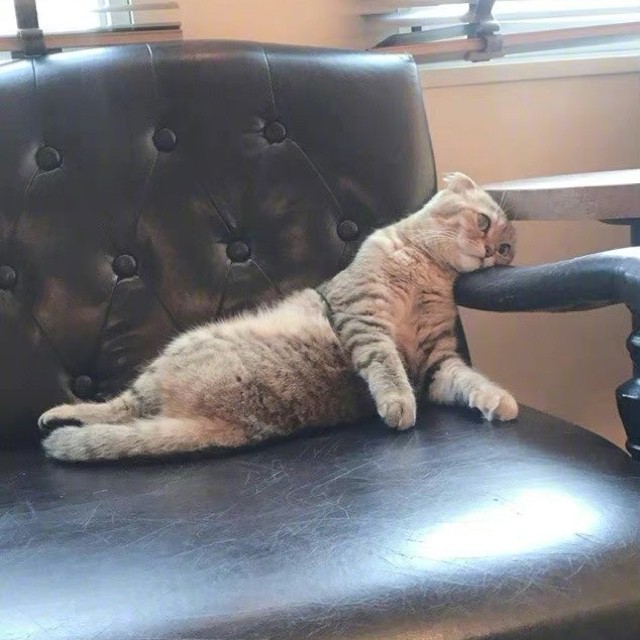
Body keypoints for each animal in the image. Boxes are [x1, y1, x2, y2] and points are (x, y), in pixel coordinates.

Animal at [39, 172, 517, 462]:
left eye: (506, 249)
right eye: (482, 222)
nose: (492, 253)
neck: (427, 272)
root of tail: (233, 425)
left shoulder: (435, 364)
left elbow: (467, 381)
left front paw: (497, 400)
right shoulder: (365, 318)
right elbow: (386, 364)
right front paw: (399, 402)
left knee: (124, 409)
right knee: (120, 409)